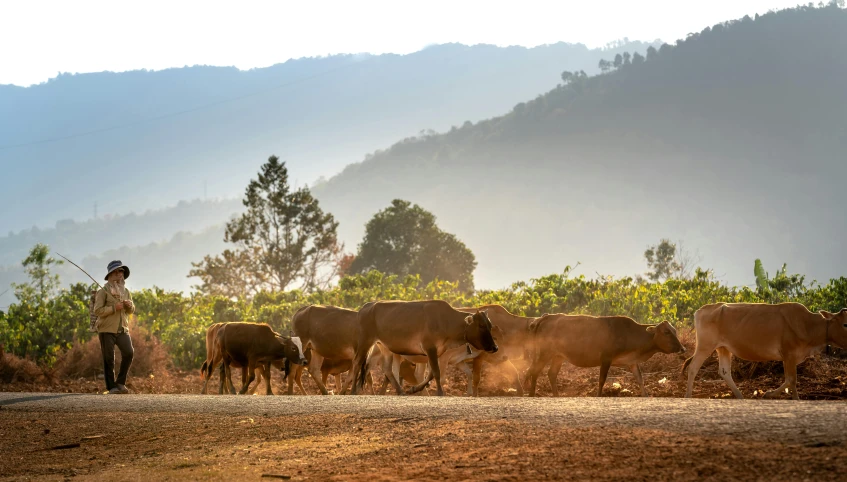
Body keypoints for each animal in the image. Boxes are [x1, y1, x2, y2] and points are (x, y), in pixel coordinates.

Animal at [350, 300, 496, 398]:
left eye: (490, 325)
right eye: (481, 325)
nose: (495, 347)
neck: (446, 321)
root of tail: (365, 307)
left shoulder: (436, 352)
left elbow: (430, 374)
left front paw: (413, 389)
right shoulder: (430, 348)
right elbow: (436, 373)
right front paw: (440, 392)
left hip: (384, 347)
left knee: (387, 369)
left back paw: (400, 391)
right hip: (365, 342)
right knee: (357, 363)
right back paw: (352, 391)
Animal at [528, 314, 684, 398]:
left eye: (674, 331)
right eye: (666, 332)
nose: (682, 348)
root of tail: (546, 317)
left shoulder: (632, 362)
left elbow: (640, 379)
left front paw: (645, 396)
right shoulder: (606, 359)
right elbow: (601, 380)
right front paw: (598, 396)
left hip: (558, 356)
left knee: (551, 374)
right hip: (545, 353)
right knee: (534, 371)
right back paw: (531, 395)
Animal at [684, 304, 847, 402]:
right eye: (845, 323)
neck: (808, 325)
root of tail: (701, 310)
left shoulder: (788, 357)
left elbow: (790, 380)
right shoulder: (789, 355)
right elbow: (791, 380)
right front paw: (786, 398)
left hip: (723, 348)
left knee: (724, 372)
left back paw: (740, 396)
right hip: (704, 346)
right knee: (692, 368)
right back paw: (688, 396)